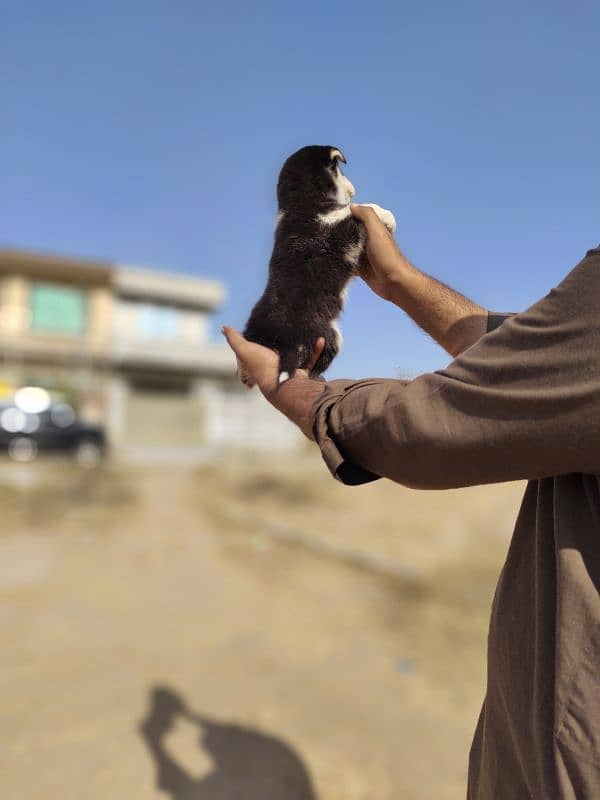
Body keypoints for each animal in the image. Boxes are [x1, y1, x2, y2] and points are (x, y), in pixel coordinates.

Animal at [241, 148, 396, 390]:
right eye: (341, 171)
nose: (353, 191)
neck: (301, 202)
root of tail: (284, 343)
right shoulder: (330, 231)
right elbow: (360, 209)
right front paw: (388, 217)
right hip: (331, 336)